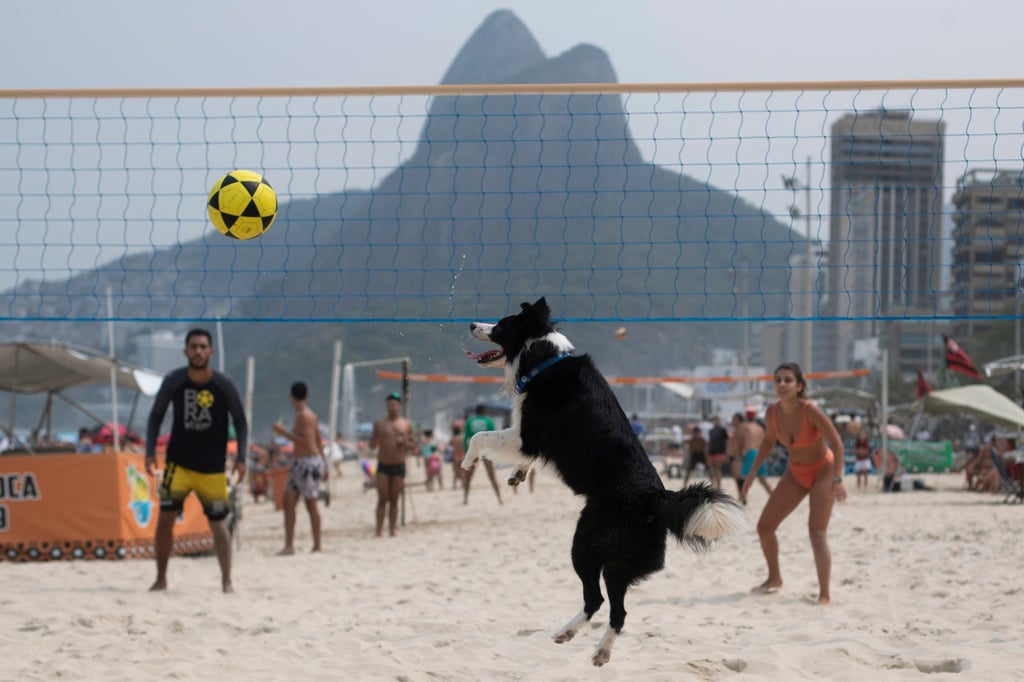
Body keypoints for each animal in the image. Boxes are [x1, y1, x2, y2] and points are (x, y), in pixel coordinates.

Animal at [464, 296, 745, 663]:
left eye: (499, 325)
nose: (471, 325)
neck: (544, 359)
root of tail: (655, 499)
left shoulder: (526, 435)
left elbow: (480, 436)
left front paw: (468, 460)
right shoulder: (530, 441)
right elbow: (520, 458)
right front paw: (517, 474)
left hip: (586, 545)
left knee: (597, 599)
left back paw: (576, 637)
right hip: (620, 562)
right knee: (616, 610)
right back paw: (590, 645)